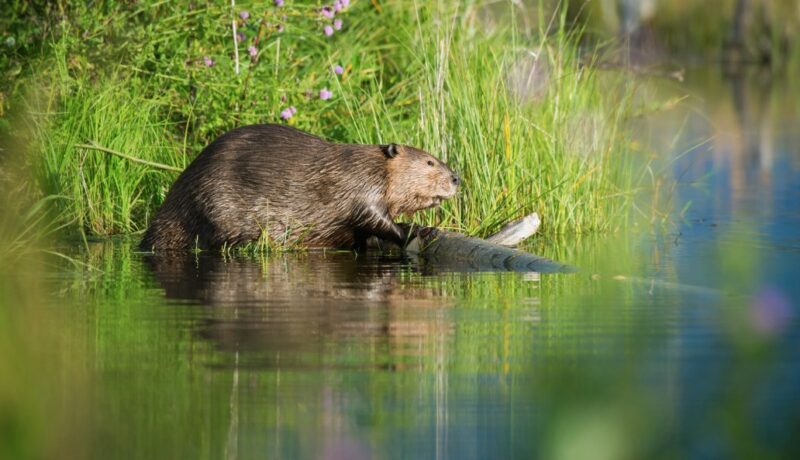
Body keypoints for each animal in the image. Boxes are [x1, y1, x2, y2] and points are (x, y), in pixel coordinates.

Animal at [141, 123, 460, 252]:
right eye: (430, 162)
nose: (456, 178)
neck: (371, 165)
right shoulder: (359, 185)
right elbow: (372, 216)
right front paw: (413, 231)